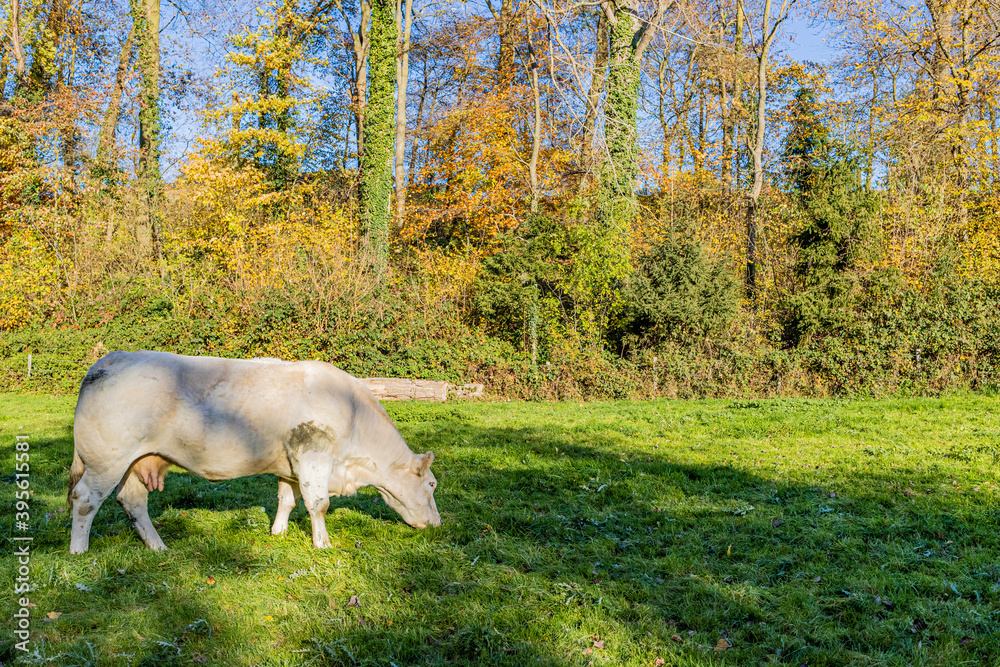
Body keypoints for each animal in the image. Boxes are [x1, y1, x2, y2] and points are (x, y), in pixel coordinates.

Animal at [67, 351, 441, 553]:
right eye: (432, 485)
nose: (437, 523)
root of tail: (112, 358)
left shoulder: (291, 465)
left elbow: (287, 499)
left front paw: (278, 532)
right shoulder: (315, 456)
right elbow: (318, 503)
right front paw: (323, 544)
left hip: (136, 462)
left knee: (132, 501)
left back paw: (158, 547)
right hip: (106, 461)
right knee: (85, 500)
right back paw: (79, 550)